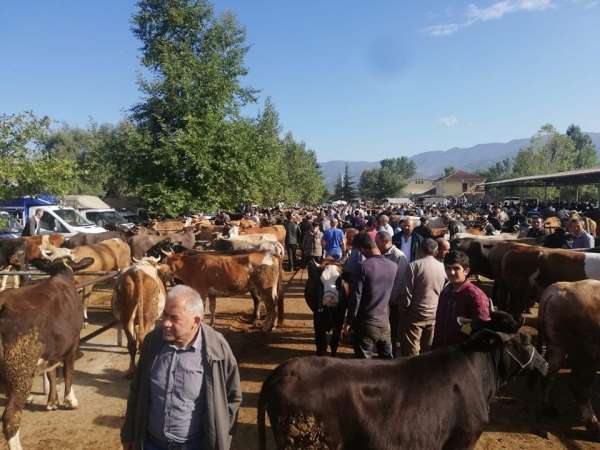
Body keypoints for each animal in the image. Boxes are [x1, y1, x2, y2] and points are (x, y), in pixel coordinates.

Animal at [0, 256, 93, 450]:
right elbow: (68, 372)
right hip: (20, 374)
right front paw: (70, 400)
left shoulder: (54, 351)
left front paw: (51, 402)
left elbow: (51, 373)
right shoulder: (73, 343)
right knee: (10, 418)